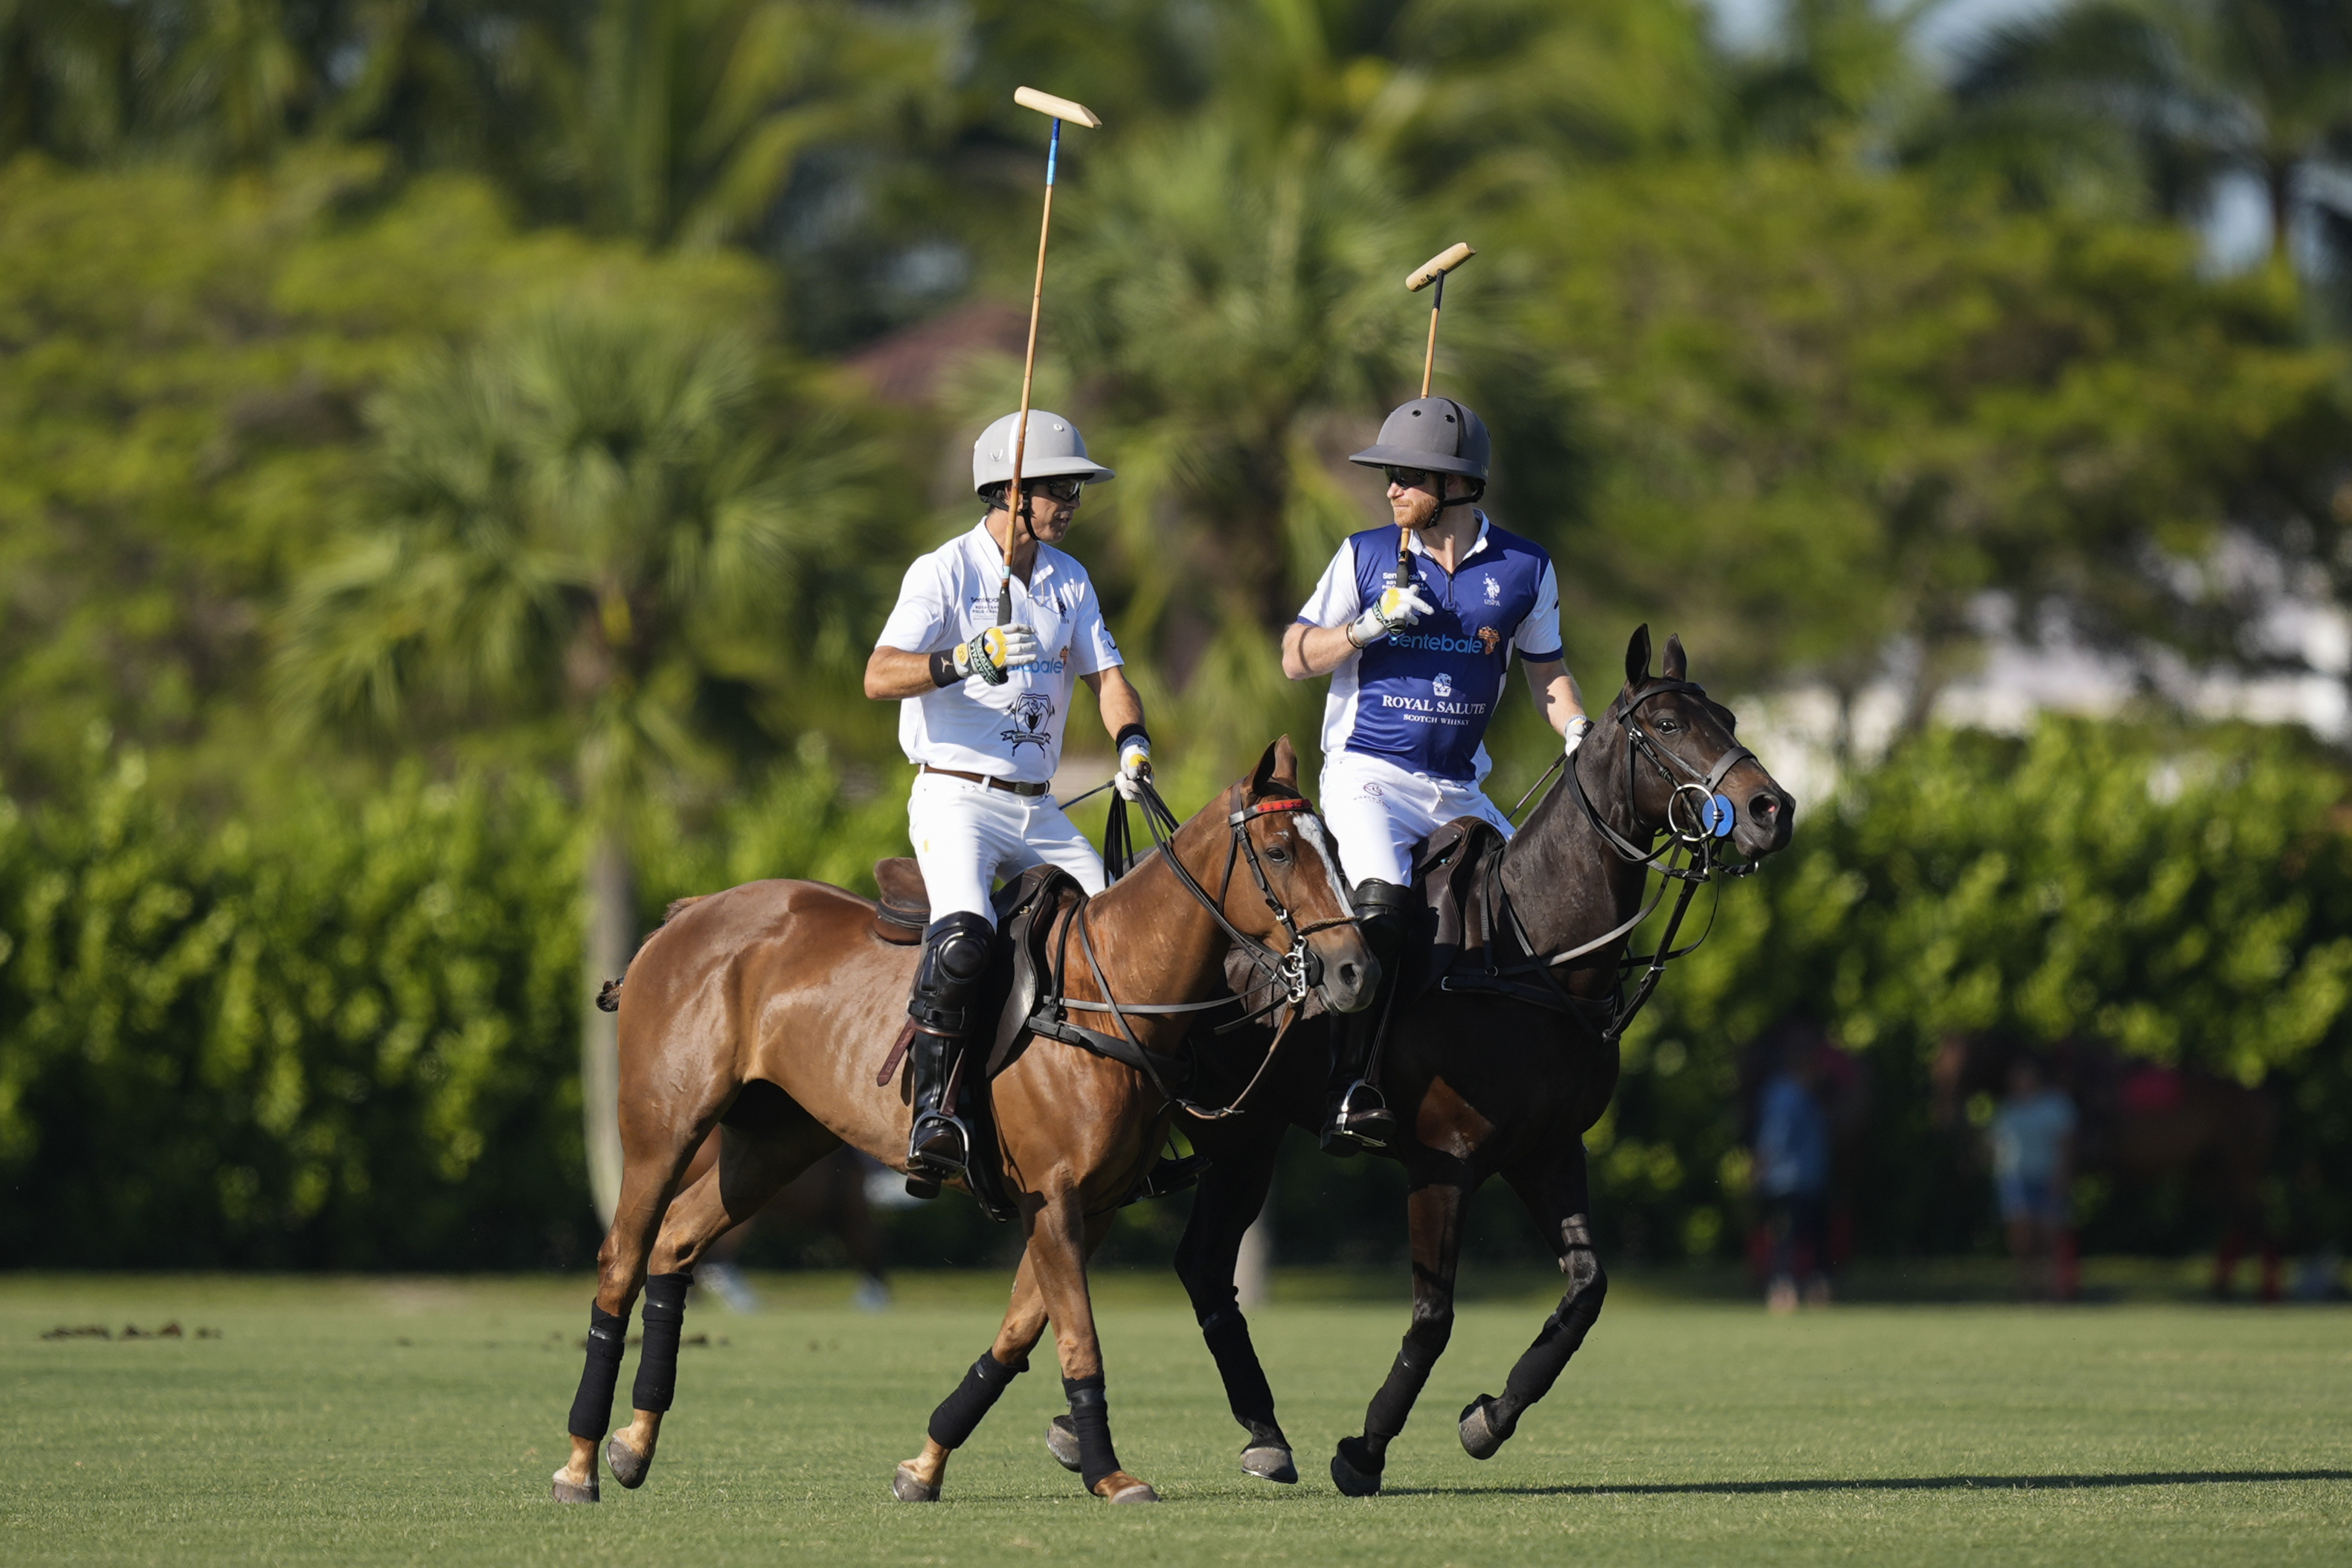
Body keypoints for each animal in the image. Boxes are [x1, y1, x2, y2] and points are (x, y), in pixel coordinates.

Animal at [547, 748, 1373, 1504]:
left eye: (1334, 843)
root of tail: (684, 915)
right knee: (622, 1257)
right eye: (1279, 851)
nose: (1354, 971)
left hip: (772, 1144)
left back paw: (634, 1442)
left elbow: (1020, 1332)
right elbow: (1078, 1337)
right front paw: (1108, 1473)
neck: (1111, 991)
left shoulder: (1095, 1202)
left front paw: (926, 1463)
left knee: (679, 1241)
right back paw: (580, 1460)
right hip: (664, 1126)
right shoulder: (1056, 1196)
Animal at [1166, 629, 1787, 1495]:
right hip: (1236, 1133)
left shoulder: (1548, 1151)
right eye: (1666, 723)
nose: (1773, 810)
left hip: (1243, 1136)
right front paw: (1363, 1449)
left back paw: (1259, 1433)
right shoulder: (1444, 1158)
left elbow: (1588, 1289)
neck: (1531, 953)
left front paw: (1488, 1418)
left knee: (1199, 1264)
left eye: (1726, 717)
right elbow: (1434, 1317)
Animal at [1928, 1029, 2276, 1297]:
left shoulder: (2068, 1165)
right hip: (2207, 1174)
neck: (2048, 1079)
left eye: (1960, 1066)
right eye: (1938, 1067)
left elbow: (2059, 1229)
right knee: (2243, 1222)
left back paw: (2263, 1294)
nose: (1944, 1114)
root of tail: (2259, 1098)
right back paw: (2222, 1289)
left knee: (2257, 1221)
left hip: (2235, 1169)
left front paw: (2063, 1293)